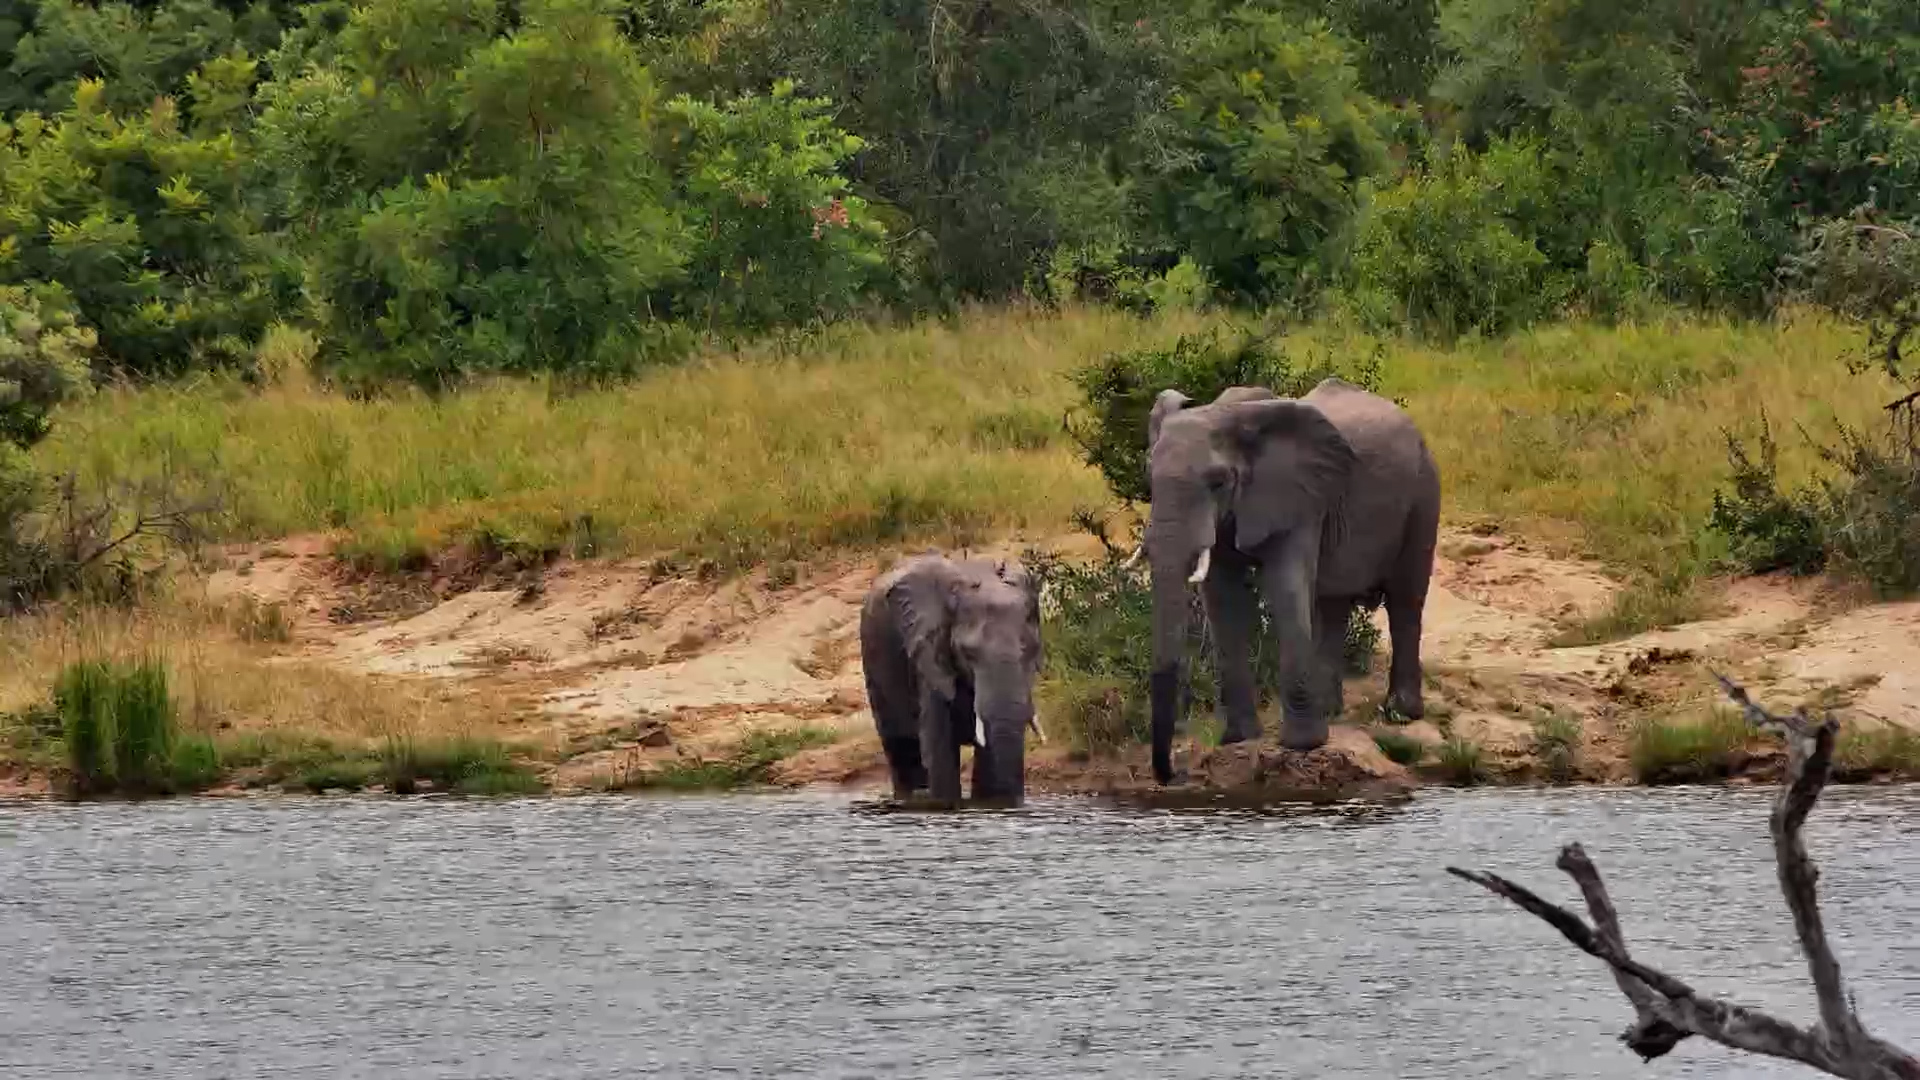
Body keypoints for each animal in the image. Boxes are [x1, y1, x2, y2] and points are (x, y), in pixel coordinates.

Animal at [859, 552, 1047, 808]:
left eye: (1032, 650)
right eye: (968, 653)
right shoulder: (928, 651)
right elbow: (939, 745)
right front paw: (945, 805)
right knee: (900, 747)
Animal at [1137, 377, 1440, 785]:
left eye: (1218, 482)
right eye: (1149, 476)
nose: (1174, 774)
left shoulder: (1298, 496)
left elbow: (1285, 585)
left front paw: (1302, 745)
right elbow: (1222, 598)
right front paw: (1238, 740)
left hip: (1424, 492)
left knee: (1405, 600)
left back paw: (1400, 714)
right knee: (1331, 605)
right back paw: (1330, 710)